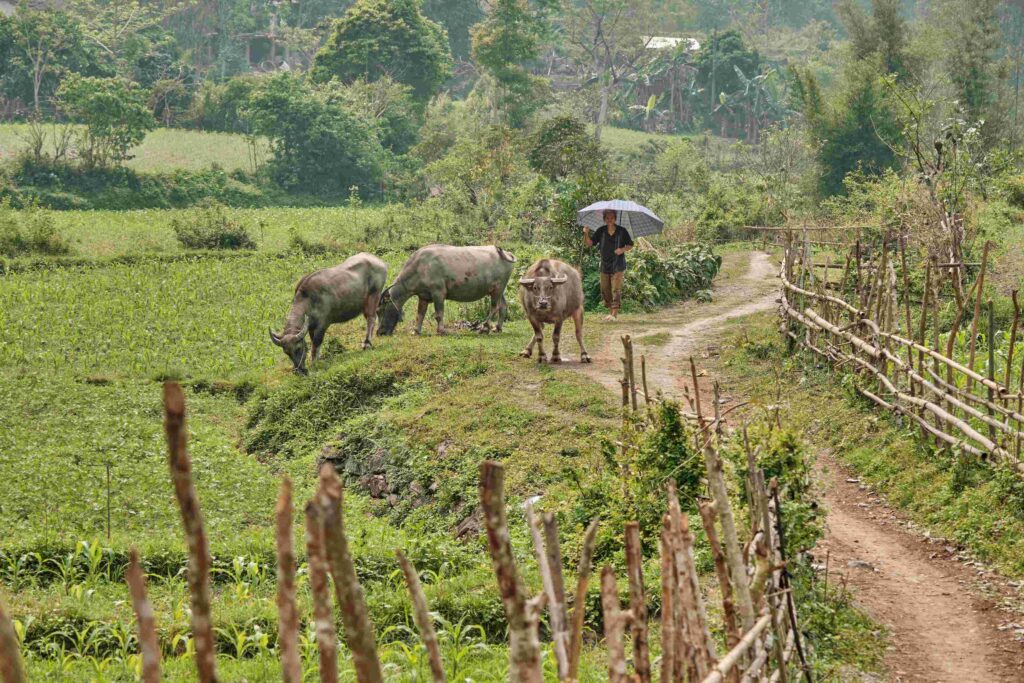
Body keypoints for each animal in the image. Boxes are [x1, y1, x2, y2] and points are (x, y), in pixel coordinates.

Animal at [376, 245, 516, 335]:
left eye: (380, 310)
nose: (379, 332)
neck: (420, 267)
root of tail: (505, 253)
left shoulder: (438, 293)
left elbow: (439, 314)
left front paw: (441, 330)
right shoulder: (423, 296)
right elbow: (420, 314)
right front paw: (416, 331)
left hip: (497, 289)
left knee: (494, 307)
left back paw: (485, 328)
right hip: (500, 290)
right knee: (503, 306)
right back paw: (497, 328)